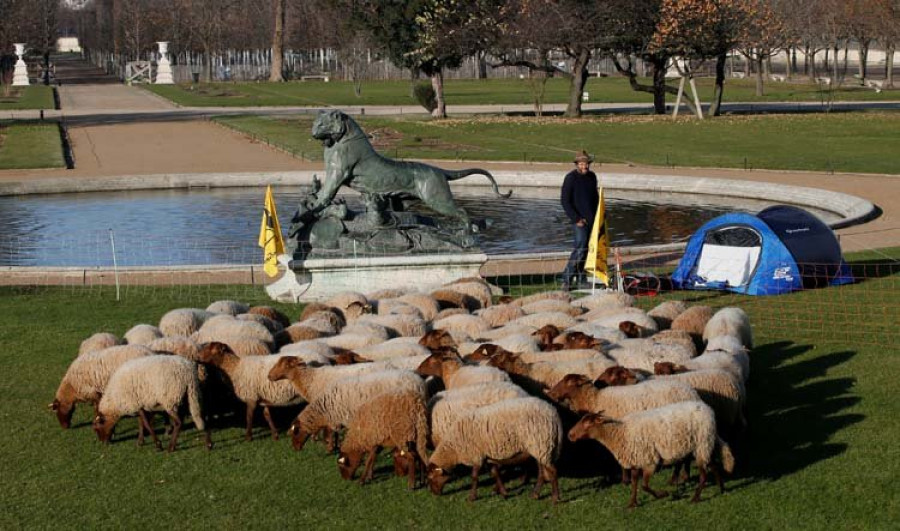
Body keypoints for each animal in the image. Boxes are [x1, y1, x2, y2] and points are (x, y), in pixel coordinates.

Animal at [424, 396, 564, 504]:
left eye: (430, 478)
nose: (434, 493)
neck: (454, 448)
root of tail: (554, 413)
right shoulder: (487, 457)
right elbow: (495, 473)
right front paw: (504, 493)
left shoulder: (476, 456)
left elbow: (474, 477)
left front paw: (471, 497)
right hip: (540, 447)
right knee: (542, 472)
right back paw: (535, 494)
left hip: (541, 444)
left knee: (553, 471)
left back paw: (555, 498)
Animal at [572, 404, 736, 512]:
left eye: (587, 423)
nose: (569, 435)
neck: (621, 433)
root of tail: (708, 410)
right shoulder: (636, 459)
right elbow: (634, 483)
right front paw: (632, 503)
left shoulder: (650, 461)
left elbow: (644, 486)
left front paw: (663, 494)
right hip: (704, 445)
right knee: (713, 465)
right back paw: (722, 488)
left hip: (701, 443)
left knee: (703, 475)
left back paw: (695, 498)